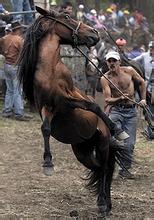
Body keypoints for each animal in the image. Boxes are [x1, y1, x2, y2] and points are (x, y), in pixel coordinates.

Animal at [18, 6, 130, 217]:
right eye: (67, 16)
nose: (94, 33)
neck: (51, 72)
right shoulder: (49, 107)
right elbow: (45, 128)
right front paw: (47, 163)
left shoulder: (69, 100)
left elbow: (93, 106)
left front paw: (117, 129)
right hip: (82, 152)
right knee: (100, 169)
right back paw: (105, 203)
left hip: (102, 143)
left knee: (105, 168)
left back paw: (104, 203)